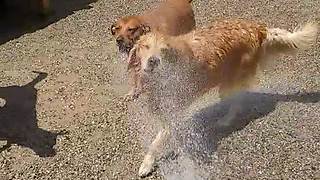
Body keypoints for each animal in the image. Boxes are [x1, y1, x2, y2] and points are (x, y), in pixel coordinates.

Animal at [127, 18, 318, 177]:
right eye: (145, 46)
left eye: (164, 51)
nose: (154, 61)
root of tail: (258, 29)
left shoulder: (174, 111)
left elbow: (156, 142)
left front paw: (147, 164)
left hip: (228, 84)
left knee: (237, 102)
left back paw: (225, 120)